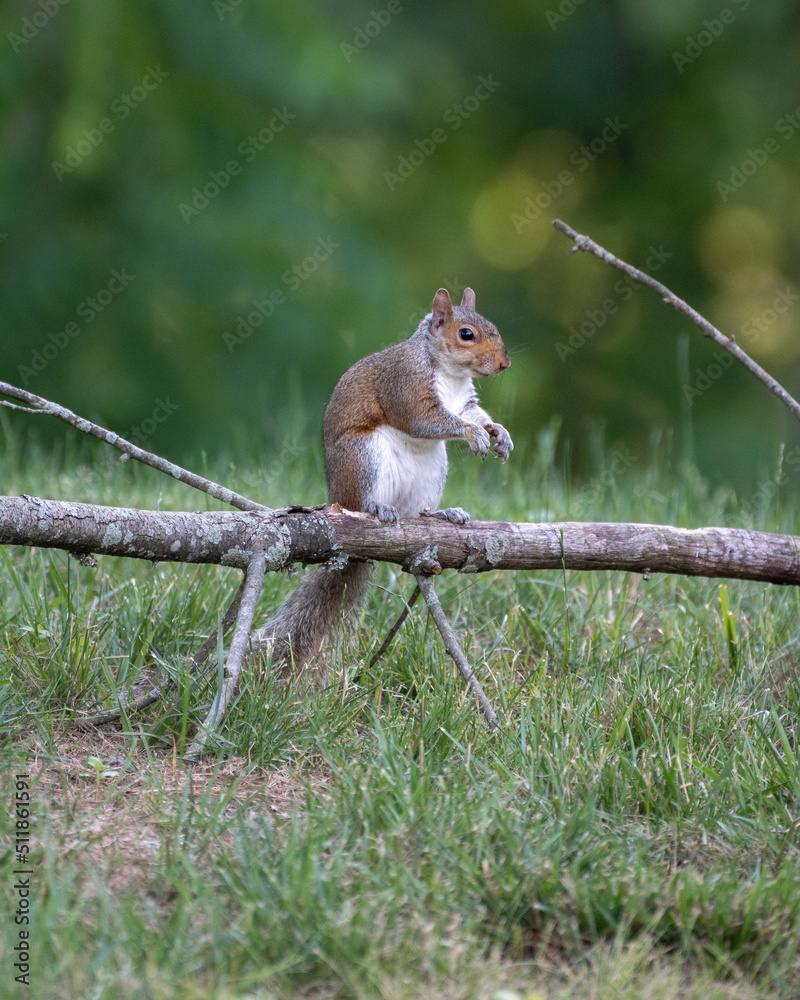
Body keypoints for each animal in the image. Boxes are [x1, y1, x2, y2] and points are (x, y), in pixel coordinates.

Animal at [253, 286, 513, 673]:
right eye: (466, 334)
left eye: (492, 325)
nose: (504, 364)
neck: (449, 372)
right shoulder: (405, 385)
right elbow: (426, 420)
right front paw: (472, 434)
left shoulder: (464, 402)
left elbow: (474, 414)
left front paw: (499, 433)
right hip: (364, 458)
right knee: (361, 505)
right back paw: (377, 509)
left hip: (432, 472)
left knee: (416, 514)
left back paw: (442, 514)